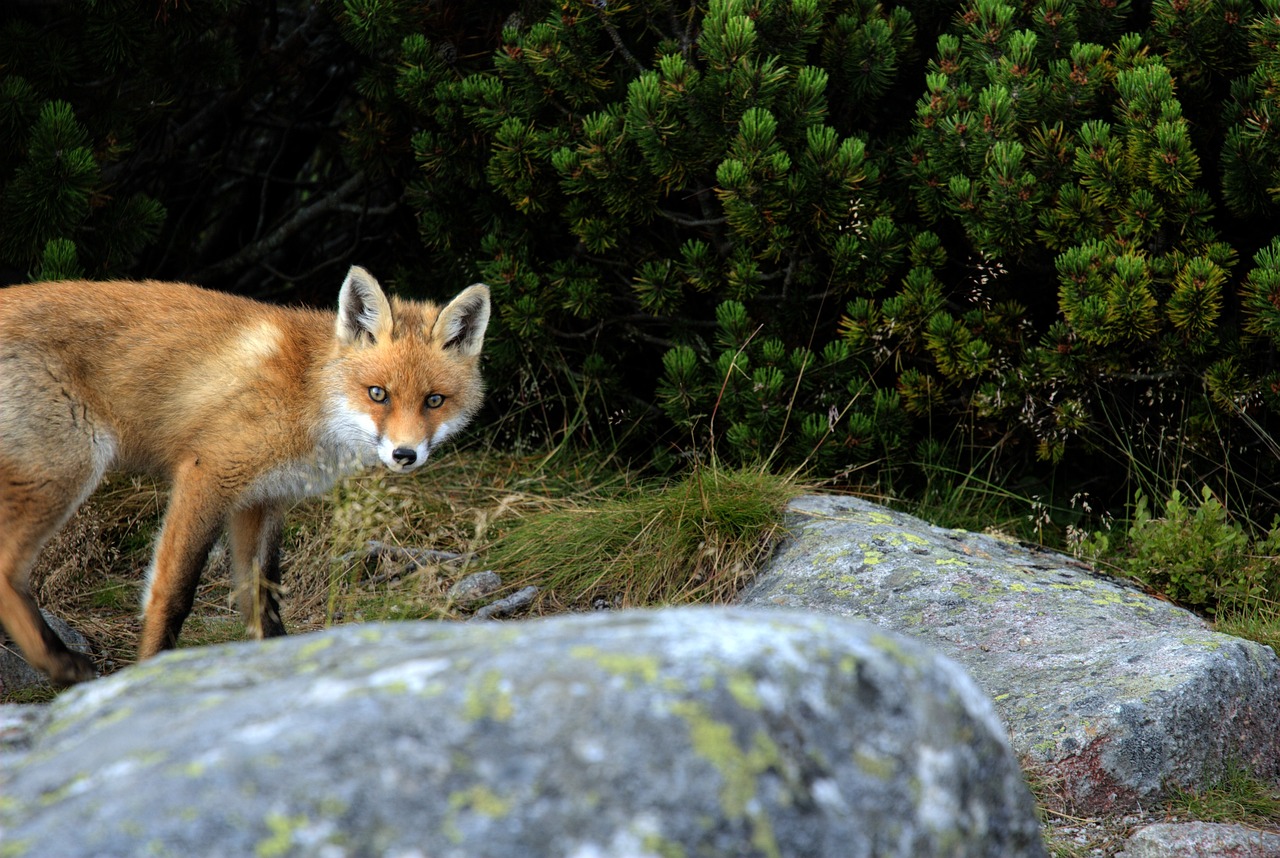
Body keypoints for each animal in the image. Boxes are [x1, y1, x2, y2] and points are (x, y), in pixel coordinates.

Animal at [0, 267, 488, 686]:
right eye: (378, 394)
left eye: (434, 400)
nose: (405, 455)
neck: (306, 391)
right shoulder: (207, 474)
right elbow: (172, 594)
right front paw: (152, 670)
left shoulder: (261, 501)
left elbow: (263, 602)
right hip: (66, 467)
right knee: (7, 568)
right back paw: (59, 663)